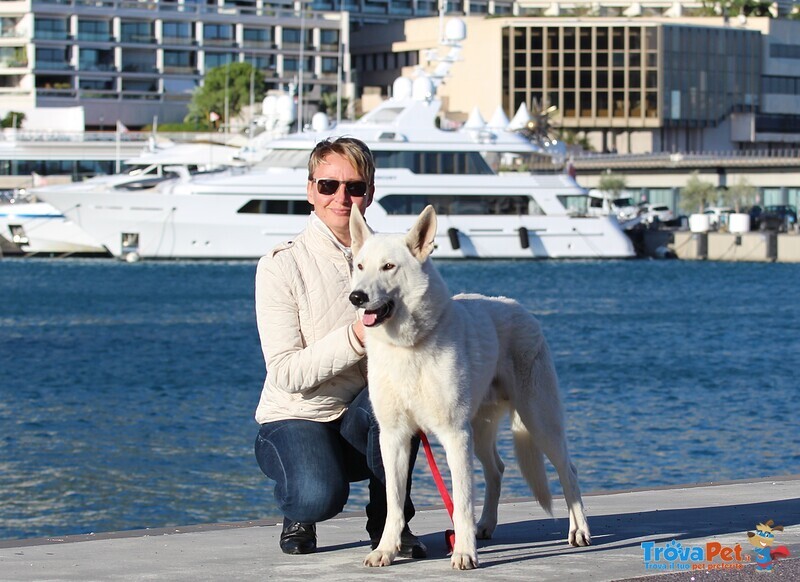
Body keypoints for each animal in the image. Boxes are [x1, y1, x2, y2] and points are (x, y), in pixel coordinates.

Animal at [350, 205, 592, 572]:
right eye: (360, 267)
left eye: (388, 267)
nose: (356, 297)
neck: (409, 347)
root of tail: (522, 310)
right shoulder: (393, 437)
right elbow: (393, 503)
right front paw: (387, 549)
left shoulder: (454, 435)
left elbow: (462, 501)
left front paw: (464, 552)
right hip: (480, 432)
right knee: (497, 471)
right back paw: (486, 526)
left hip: (538, 422)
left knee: (569, 471)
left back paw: (579, 530)